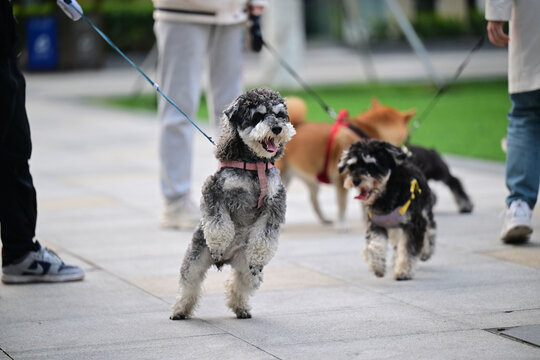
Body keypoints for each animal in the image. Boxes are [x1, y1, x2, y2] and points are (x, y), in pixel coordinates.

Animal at [171, 88, 296, 320]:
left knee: (238, 284)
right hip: (195, 260)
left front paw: (259, 256)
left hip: (246, 269)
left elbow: (265, 236)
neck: (254, 164)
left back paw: (242, 308)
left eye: (280, 114)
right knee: (189, 284)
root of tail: (227, 260)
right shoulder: (214, 191)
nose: (277, 128)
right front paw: (218, 244)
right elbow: (218, 223)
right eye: (257, 116)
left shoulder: (275, 202)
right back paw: (179, 309)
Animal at [340, 139, 436, 280]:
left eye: (372, 166)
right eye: (352, 166)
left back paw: (426, 251)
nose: (355, 180)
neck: (385, 194)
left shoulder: (414, 223)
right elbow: (375, 244)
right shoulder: (376, 224)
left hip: (425, 211)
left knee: (430, 229)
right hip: (394, 228)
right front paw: (377, 264)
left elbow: (408, 249)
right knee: (397, 243)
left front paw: (404, 271)